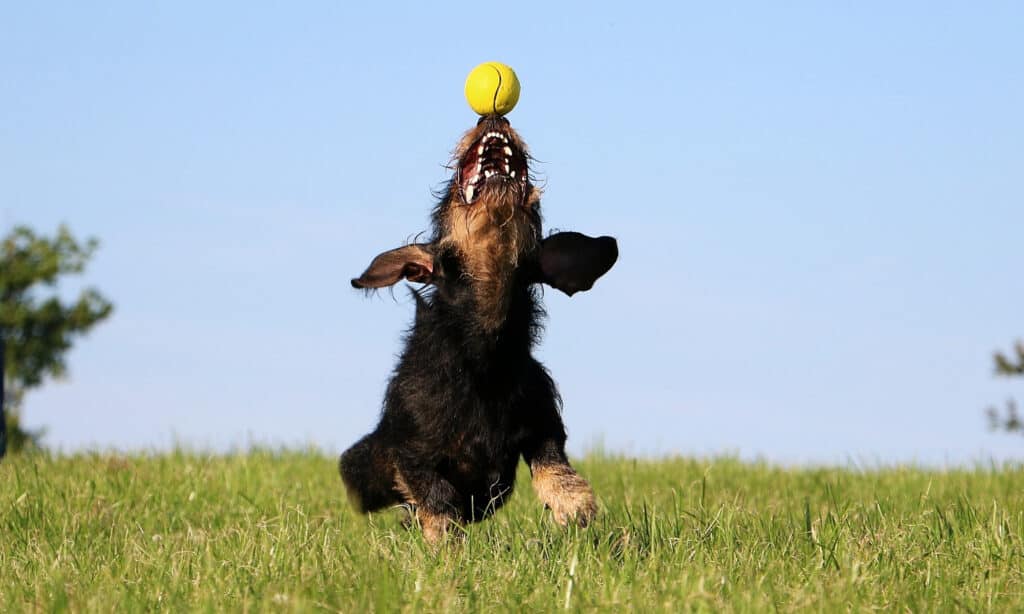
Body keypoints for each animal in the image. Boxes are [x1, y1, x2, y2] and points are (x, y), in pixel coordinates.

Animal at [342, 115, 614, 540]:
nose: (492, 116)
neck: (485, 352)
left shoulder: (541, 416)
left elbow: (552, 459)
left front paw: (573, 505)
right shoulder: (409, 450)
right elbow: (434, 495)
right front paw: (445, 544)